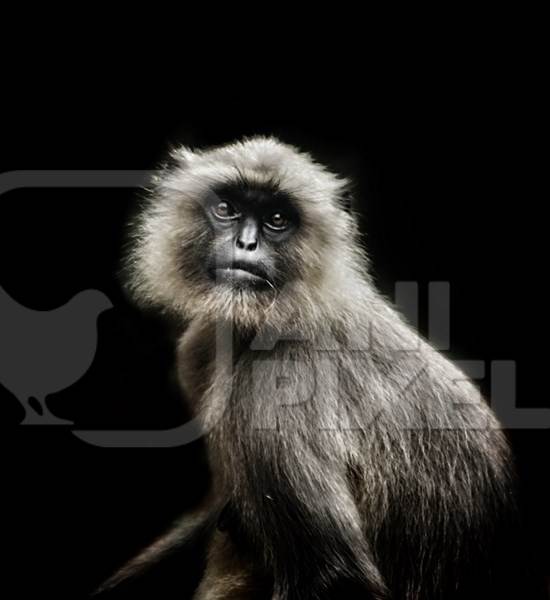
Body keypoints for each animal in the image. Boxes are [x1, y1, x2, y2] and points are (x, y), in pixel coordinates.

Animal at [100, 137, 528, 600]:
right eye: (227, 209)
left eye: (276, 220)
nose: (246, 245)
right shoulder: (199, 348)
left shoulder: (279, 382)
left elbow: (338, 579)